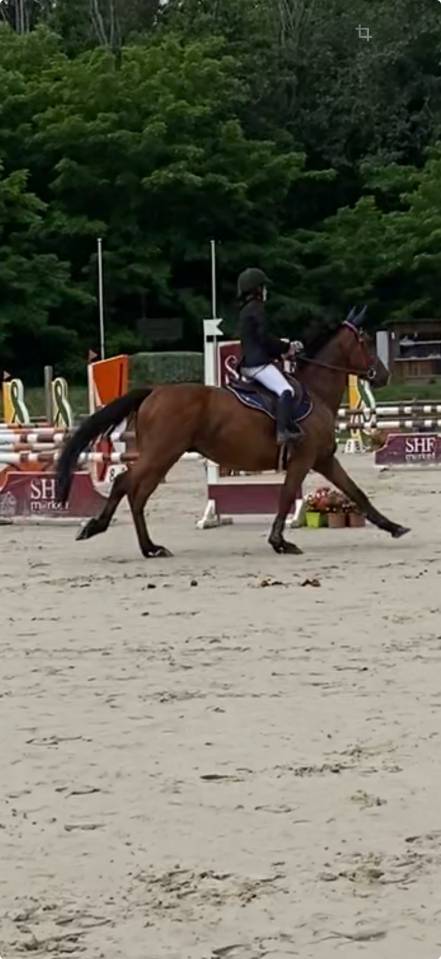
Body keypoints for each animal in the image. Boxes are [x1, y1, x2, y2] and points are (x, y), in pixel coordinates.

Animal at [56, 307, 409, 557]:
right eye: (365, 341)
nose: (384, 376)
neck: (316, 392)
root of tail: (154, 392)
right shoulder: (304, 459)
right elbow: (285, 496)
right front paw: (280, 542)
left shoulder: (323, 459)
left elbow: (356, 492)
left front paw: (394, 527)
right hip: (161, 454)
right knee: (124, 484)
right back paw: (101, 529)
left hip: (162, 457)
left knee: (136, 493)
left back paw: (150, 548)